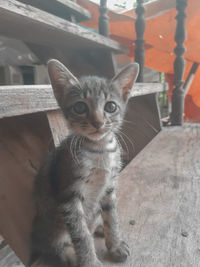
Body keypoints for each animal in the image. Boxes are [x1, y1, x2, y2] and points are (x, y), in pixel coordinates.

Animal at [29, 59, 139, 267]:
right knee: (58, 247)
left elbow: (112, 218)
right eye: (80, 107)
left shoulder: (109, 187)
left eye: (110, 107)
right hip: (52, 227)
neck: (100, 150)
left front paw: (115, 244)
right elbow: (81, 235)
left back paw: (99, 227)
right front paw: (90, 261)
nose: (98, 122)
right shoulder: (69, 197)